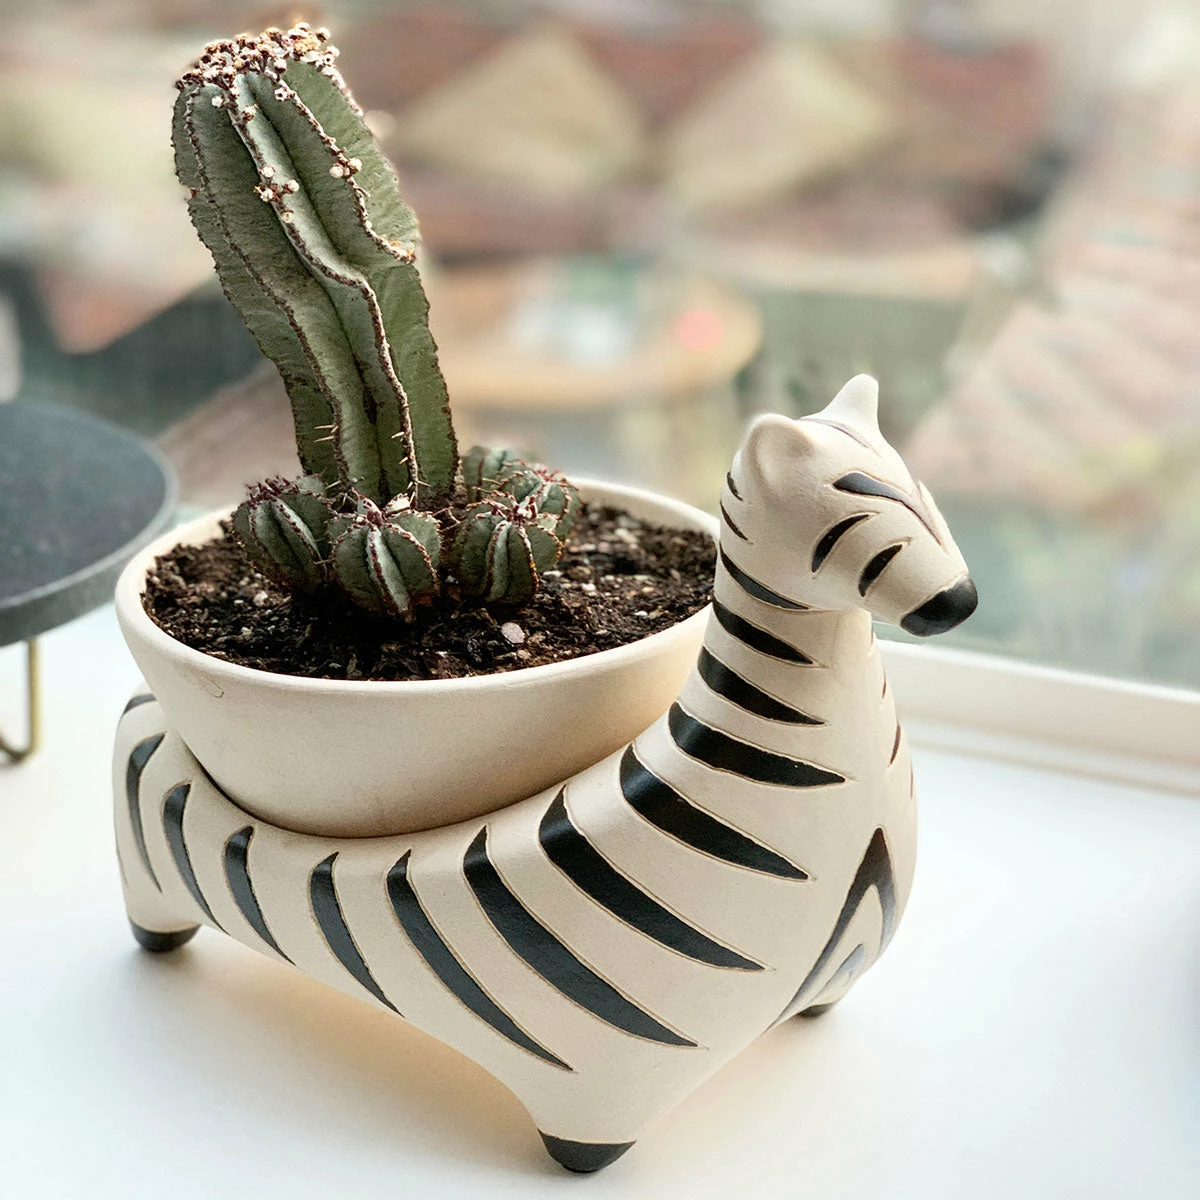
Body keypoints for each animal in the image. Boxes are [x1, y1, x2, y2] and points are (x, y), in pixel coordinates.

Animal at [113, 375, 976, 1173]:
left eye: (922, 493)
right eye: (867, 511)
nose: (959, 603)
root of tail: (145, 718)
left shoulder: (826, 972)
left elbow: (822, 995)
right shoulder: (609, 1082)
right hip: (149, 878)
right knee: (158, 911)